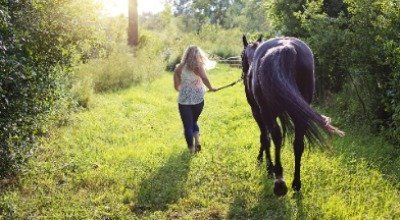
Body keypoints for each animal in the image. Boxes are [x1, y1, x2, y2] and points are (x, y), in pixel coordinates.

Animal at [241, 35, 344, 196]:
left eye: (241, 56)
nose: (244, 73)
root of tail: (286, 47)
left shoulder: (258, 112)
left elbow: (265, 138)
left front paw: (266, 166)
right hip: (299, 115)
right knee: (298, 144)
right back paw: (296, 183)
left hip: (267, 112)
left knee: (276, 137)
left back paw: (279, 181)